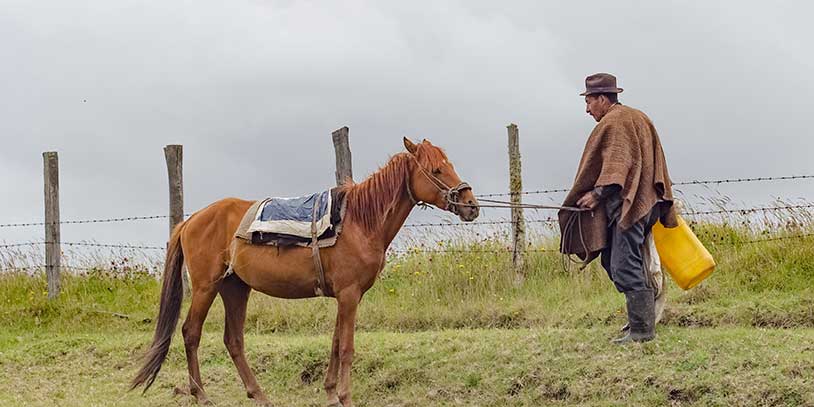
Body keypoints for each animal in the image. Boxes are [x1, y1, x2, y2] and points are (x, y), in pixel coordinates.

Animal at [131, 139, 478, 406]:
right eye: (436, 170)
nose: (471, 204)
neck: (359, 221)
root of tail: (190, 220)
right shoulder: (349, 294)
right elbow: (347, 348)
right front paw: (345, 397)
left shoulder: (346, 296)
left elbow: (336, 344)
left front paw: (331, 393)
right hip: (207, 286)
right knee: (191, 332)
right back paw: (202, 395)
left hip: (235, 287)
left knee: (234, 340)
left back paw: (258, 394)